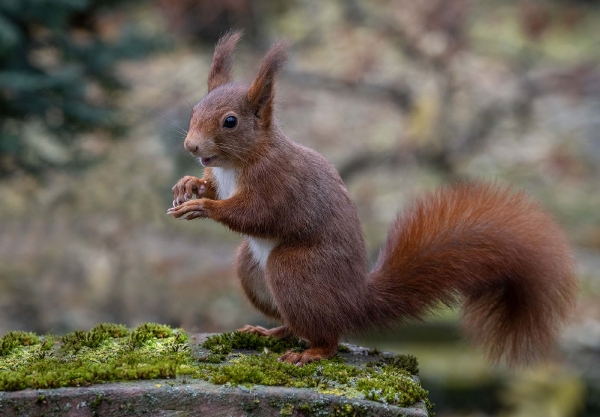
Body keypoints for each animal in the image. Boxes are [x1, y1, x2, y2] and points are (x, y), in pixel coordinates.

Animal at [168, 31, 576, 364]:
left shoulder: (278, 182)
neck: (239, 162)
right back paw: (269, 331)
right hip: (250, 267)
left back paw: (311, 352)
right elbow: (212, 186)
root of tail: (354, 302)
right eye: (194, 110)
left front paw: (203, 205)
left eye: (230, 121)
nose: (191, 146)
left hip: (293, 269)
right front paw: (188, 185)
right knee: (296, 324)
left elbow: (256, 214)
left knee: (328, 335)